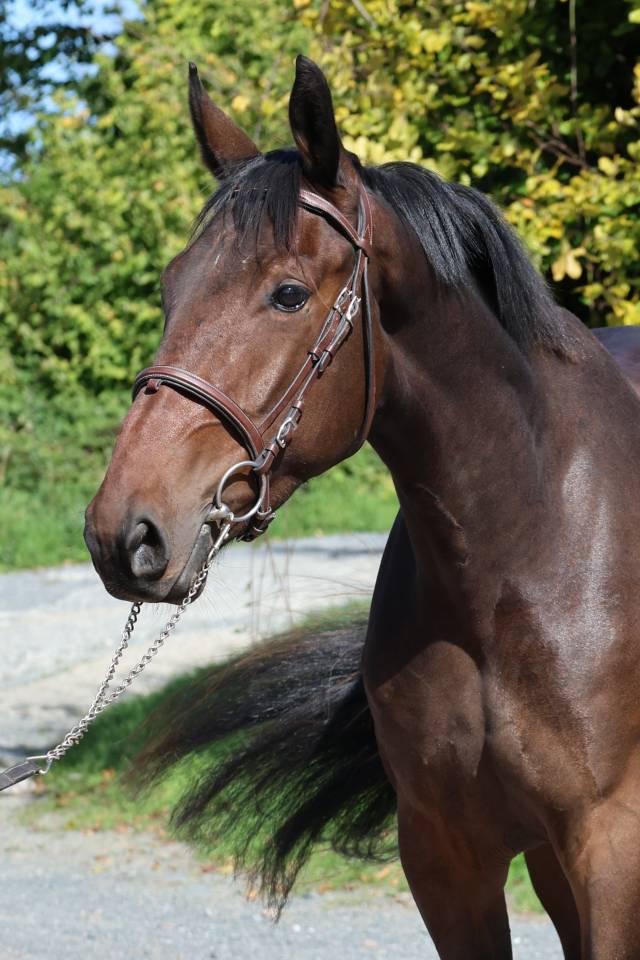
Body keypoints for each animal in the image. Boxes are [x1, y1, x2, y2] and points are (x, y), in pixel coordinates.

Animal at [84, 55, 640, 959]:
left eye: (287, 294)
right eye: (172, 286)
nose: (122, 532)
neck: (531, 544)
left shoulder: (612, 850)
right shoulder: (448, 856)